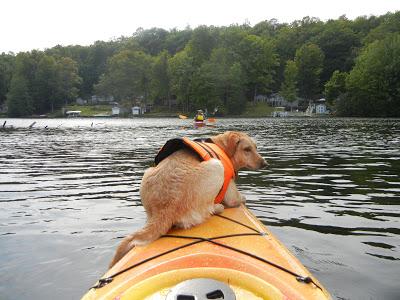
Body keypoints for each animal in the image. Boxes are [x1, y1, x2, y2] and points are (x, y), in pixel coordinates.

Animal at [108, 131, 268, 268]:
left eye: (255, 147)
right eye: (247, 149)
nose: (265, 163)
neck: (221, 146)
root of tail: (163, 210)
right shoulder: (231, 194)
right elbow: (239, 199)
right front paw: (243, 199)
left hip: (148, 173)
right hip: (217, 166)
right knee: (208, 210)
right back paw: (218, 208)